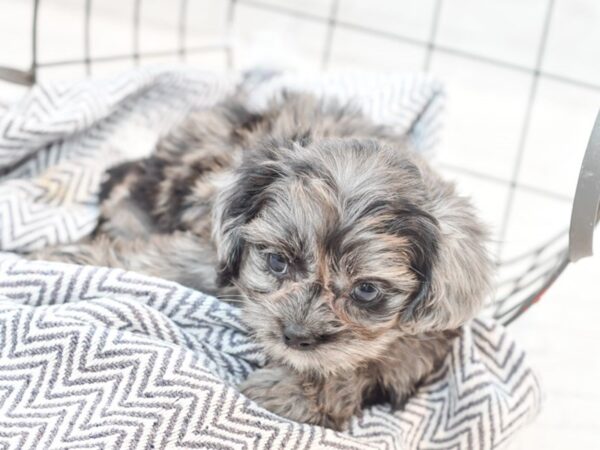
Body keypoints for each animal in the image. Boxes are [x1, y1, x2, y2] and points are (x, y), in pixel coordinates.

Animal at [32, 91, 492, 428]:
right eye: (277, 263)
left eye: (366, 290)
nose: (296, 337)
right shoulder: (207, 250)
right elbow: (158, 264)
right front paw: (66, 258)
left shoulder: (422, 345)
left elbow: (371, 363)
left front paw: (296, 391)